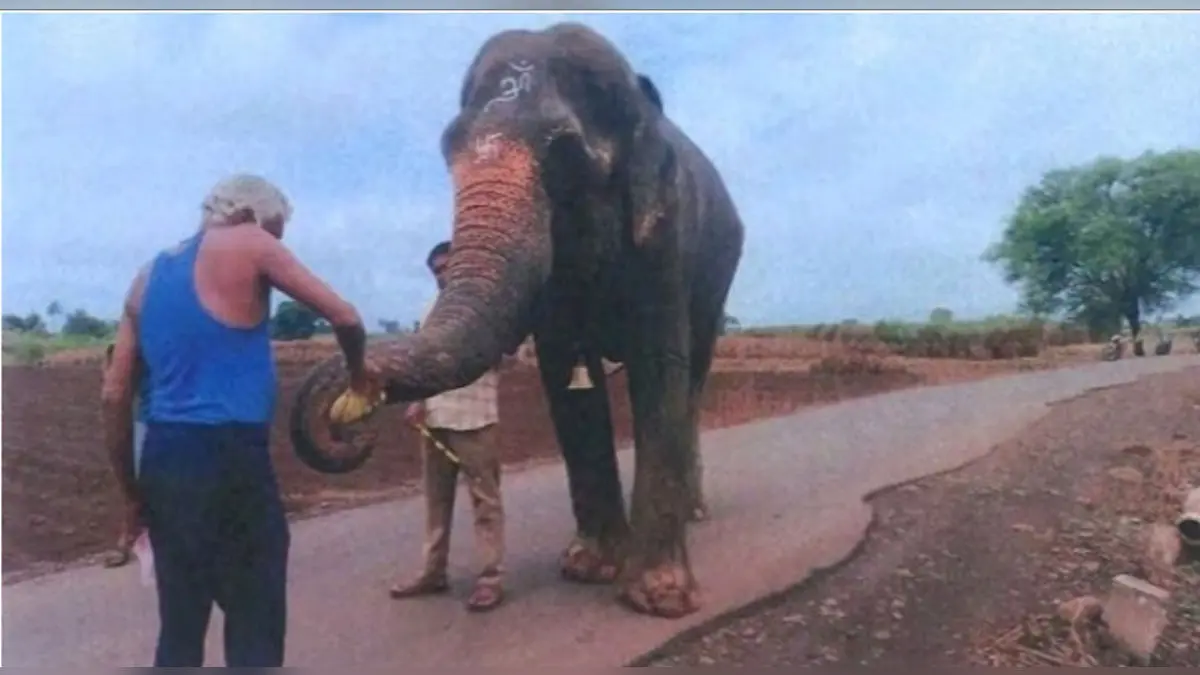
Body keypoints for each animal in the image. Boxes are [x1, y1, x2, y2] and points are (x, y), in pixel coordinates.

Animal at [290, 22, 744, 619]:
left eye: (565, 152)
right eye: (447, 148)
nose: (348, 409)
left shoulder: (666, 234)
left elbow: (659, 364)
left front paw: (659, 599)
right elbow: (564, 376)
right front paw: (588, 570)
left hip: (719, 271)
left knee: (693, 379)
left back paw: (696, 513)